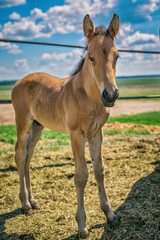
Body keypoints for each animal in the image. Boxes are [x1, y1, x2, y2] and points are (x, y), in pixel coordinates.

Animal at [11, 14, 120, 238]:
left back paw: (33, 201)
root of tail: (19, 81)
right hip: (23, 122)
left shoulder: (97, 134)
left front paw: (110, 215)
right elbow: (81, 176)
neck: (88, 97)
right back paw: (25, 205)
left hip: (38, 126)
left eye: (117, 56)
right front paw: (82, 226)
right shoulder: (76, 135)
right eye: (91, 57)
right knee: (20, 155)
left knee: (28, 157)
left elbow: (99, 170)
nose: (110, 95)